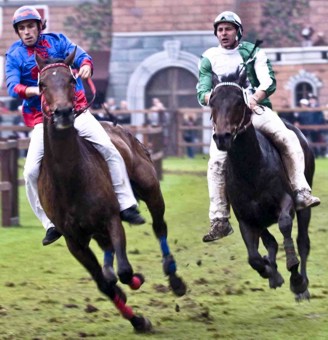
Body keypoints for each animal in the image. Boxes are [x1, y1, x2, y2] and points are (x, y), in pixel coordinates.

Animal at [35, 48, 186, 332]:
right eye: (42, 85)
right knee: (107, 254)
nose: (63, 113)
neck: (70, 179)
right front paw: (137, 319)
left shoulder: (111, 218)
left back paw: (174, 279)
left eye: (71, 80)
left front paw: (136, 281)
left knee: (159, 226)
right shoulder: (74, 241)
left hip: (151, 189)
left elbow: (125, 270)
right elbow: (105, 284)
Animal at [210, 69, 316, 300]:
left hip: (304, 205)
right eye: (212, 101)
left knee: (303, 240)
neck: (251, 170)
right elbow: (254, 256)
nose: (222, 137)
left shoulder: (285, 201)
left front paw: (295, 277)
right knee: (270, 242)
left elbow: (285, 225)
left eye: (239, 101)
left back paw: (302, 286)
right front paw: (271, 272)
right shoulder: (246, 218)